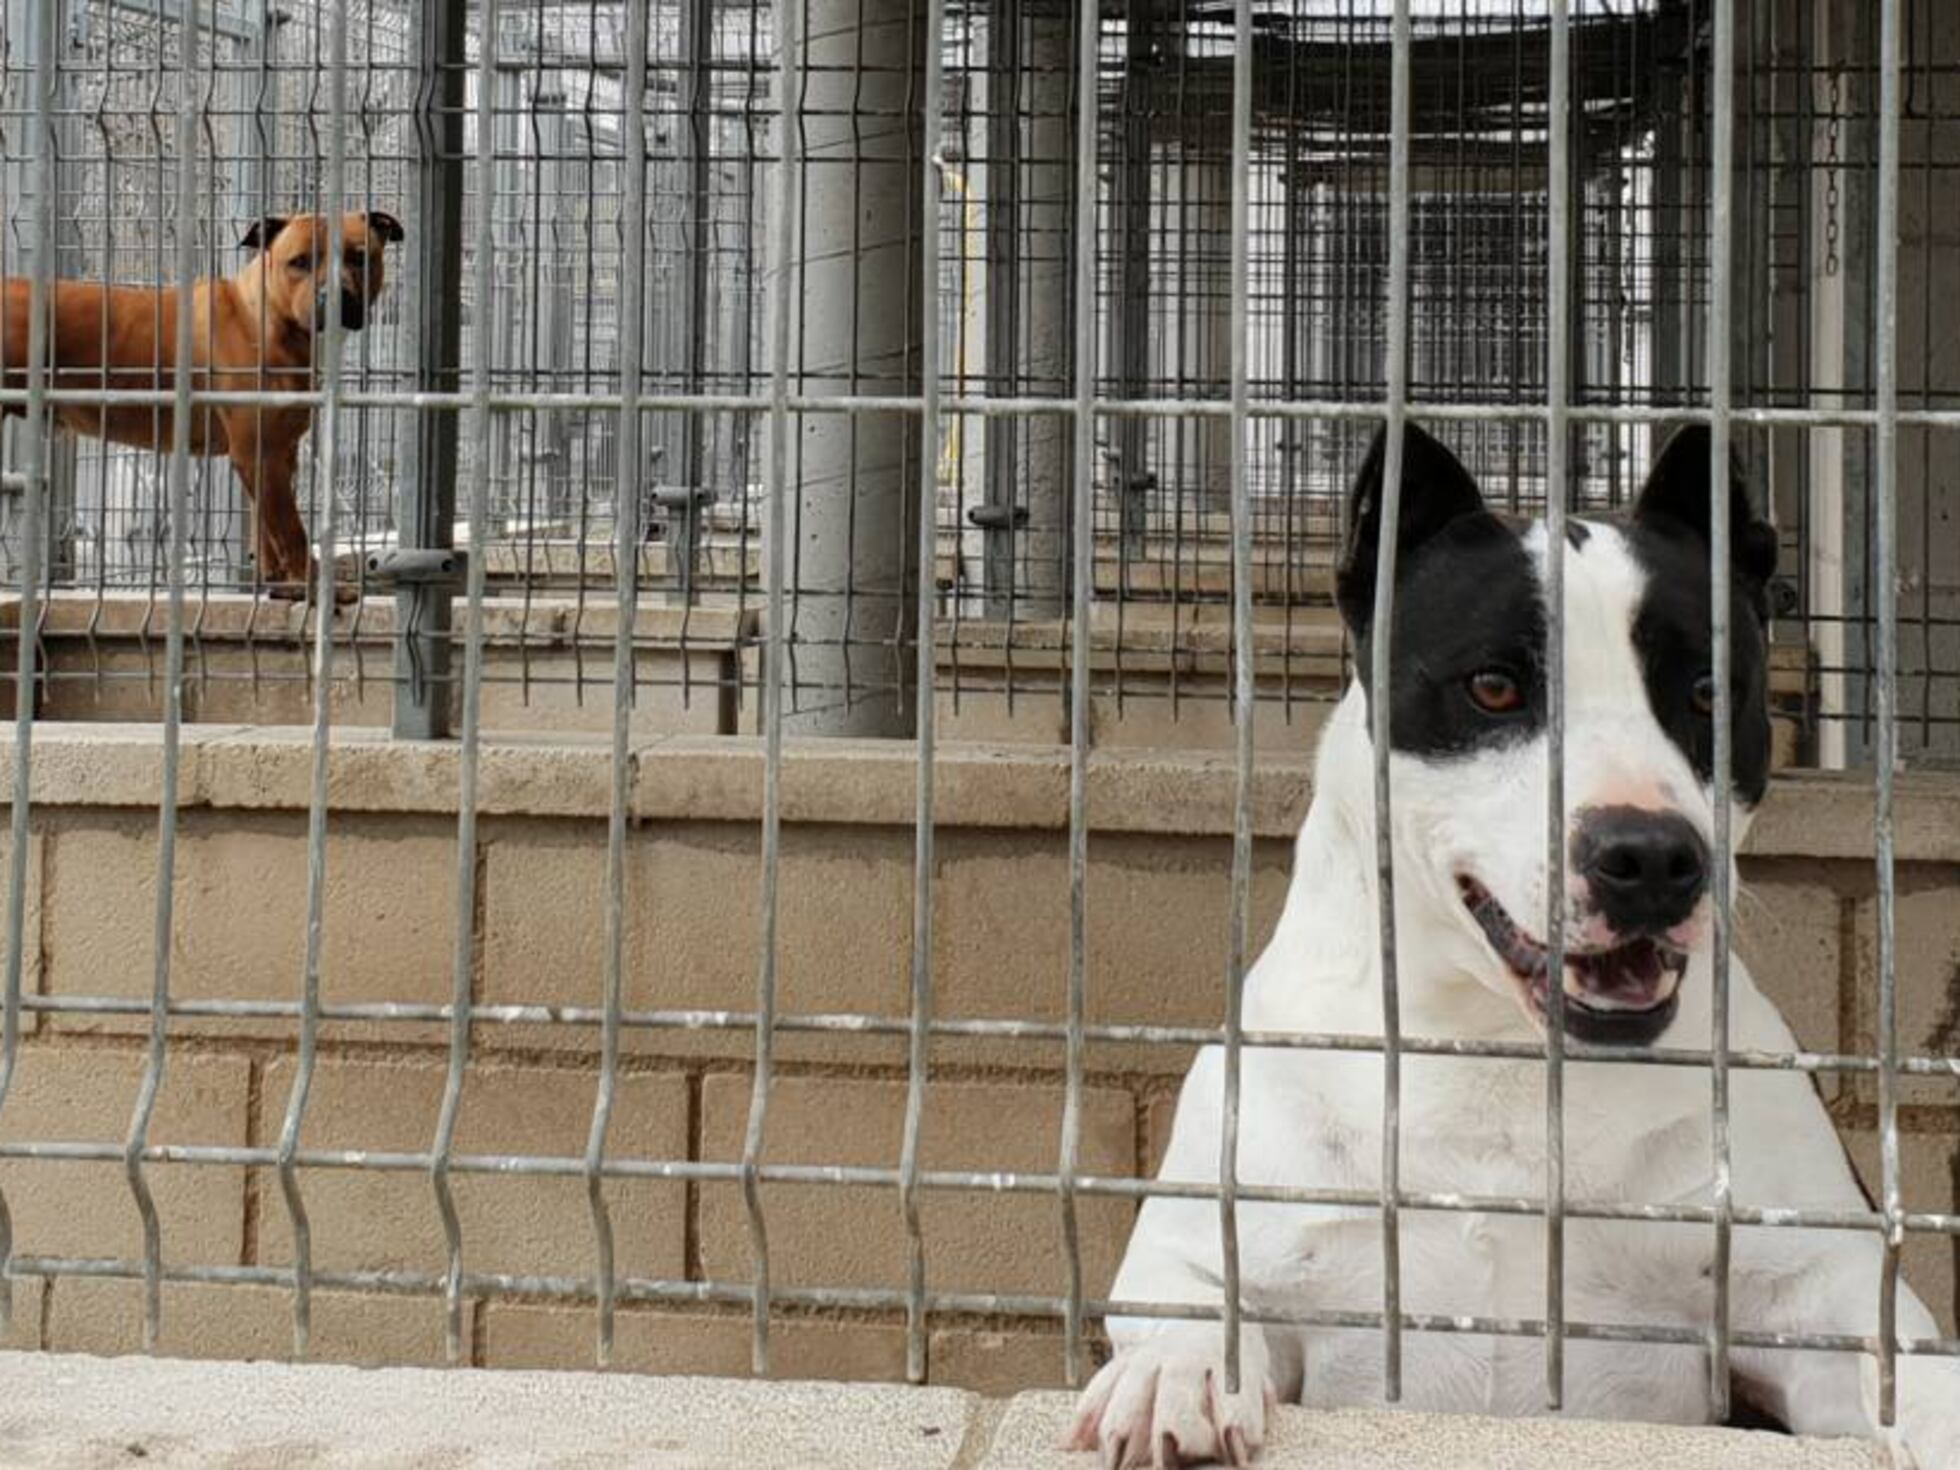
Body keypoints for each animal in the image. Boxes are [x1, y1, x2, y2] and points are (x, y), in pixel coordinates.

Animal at [0, 209, 401, 599]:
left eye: (360, 257)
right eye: (299, 262)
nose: (335, 297)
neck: (266, 318)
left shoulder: (278, 453)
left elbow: (266, 526)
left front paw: (282, 585)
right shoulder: (259, 453)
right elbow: (291, 531)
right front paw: (316, 588)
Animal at [1074, 423, 1960, 1466]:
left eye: (1708, 691)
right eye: (1494, 687)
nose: (1651, 857)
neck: (1495, 1050)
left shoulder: (1820, 1290)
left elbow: (1901, 1361)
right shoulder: (1202, 1240)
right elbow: (1192, 1301)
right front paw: (1171, 1375)